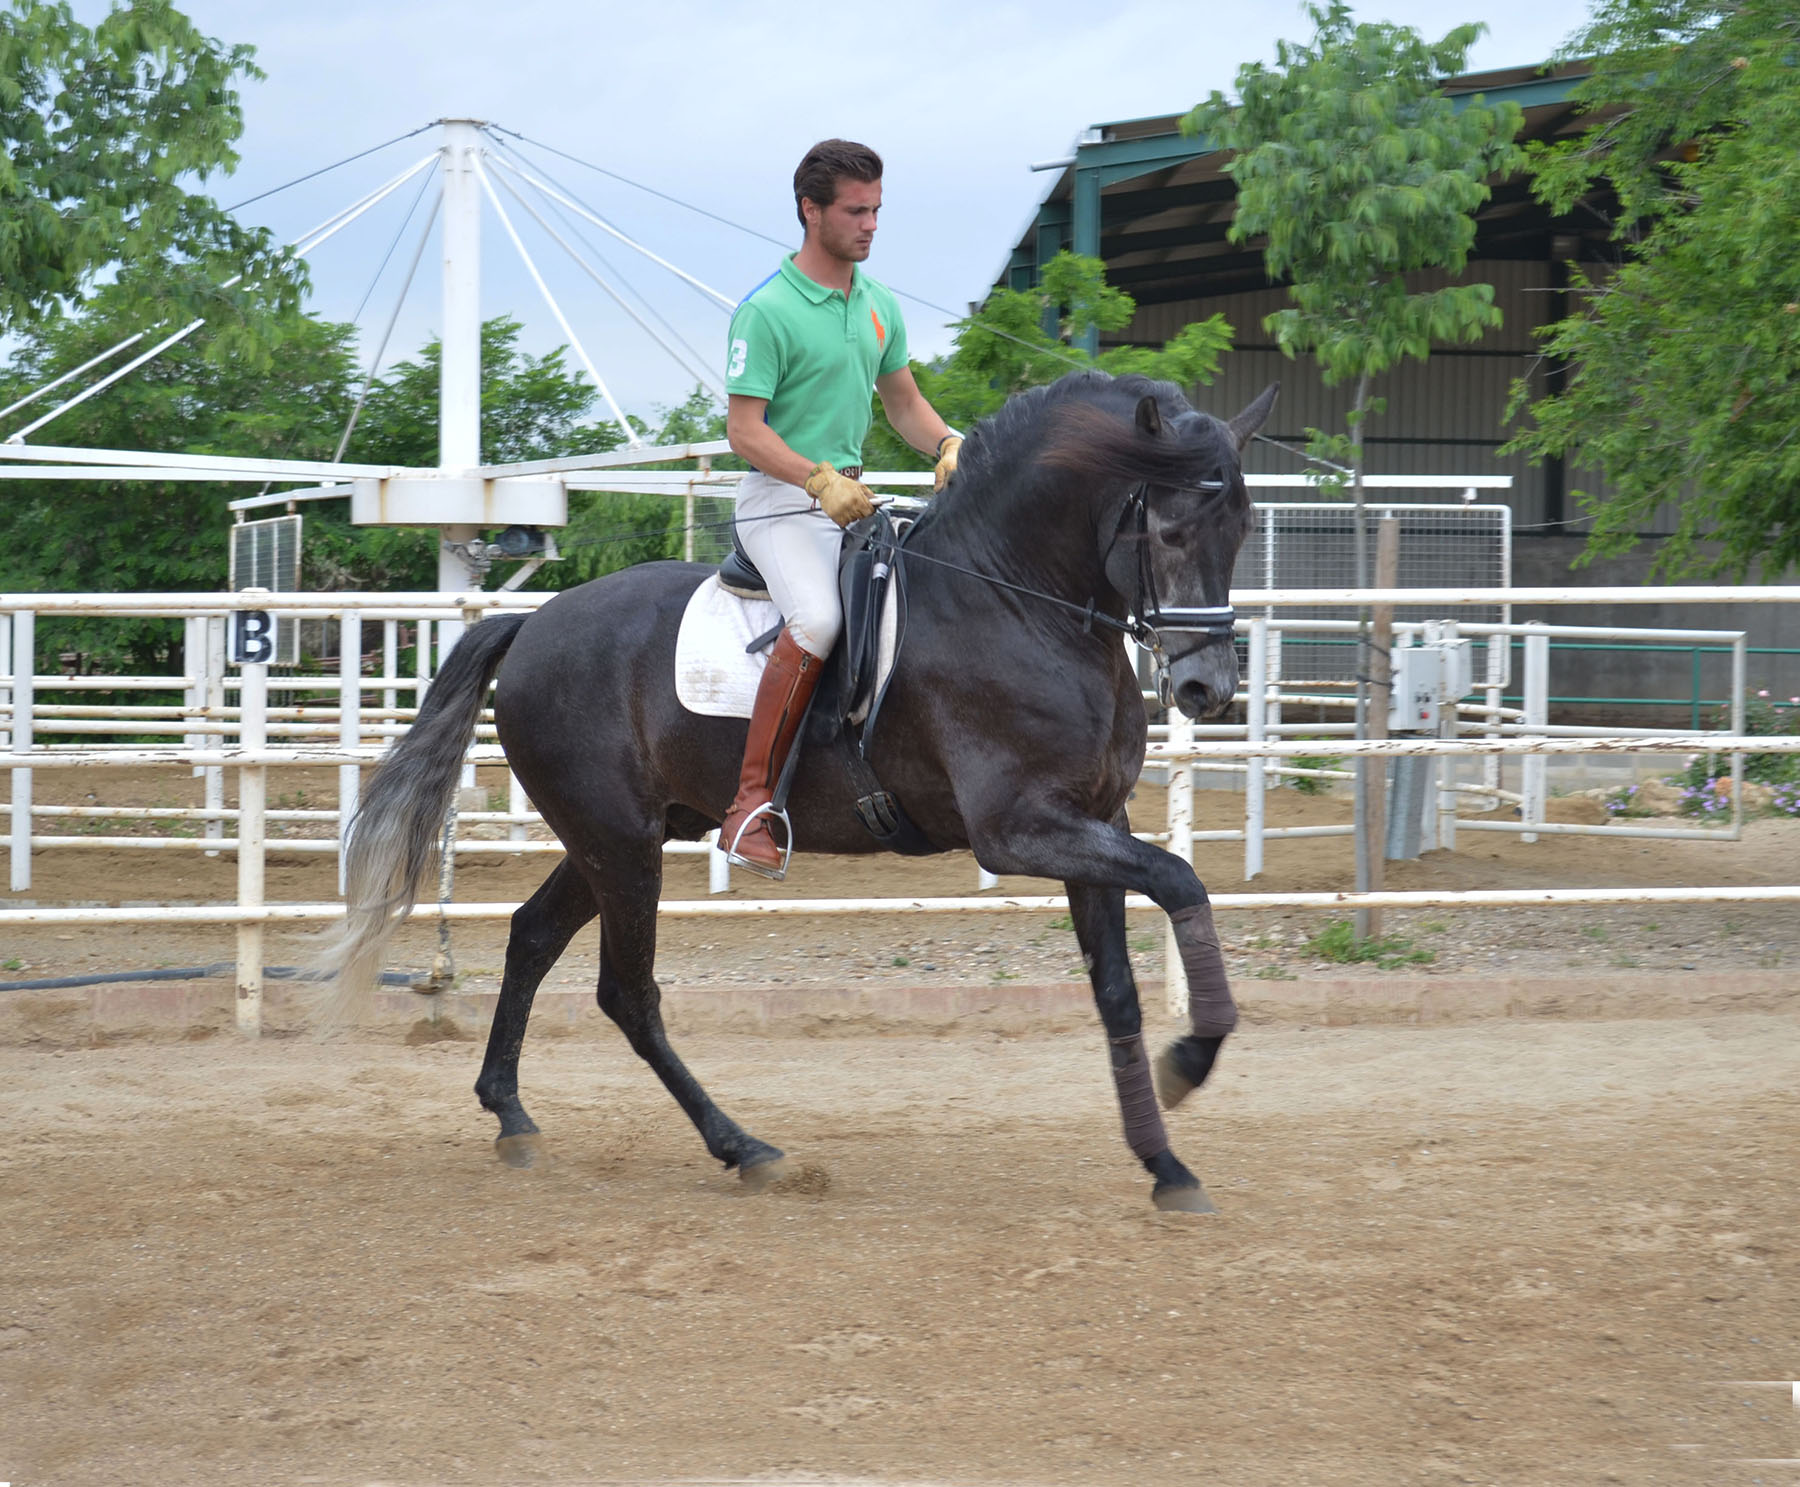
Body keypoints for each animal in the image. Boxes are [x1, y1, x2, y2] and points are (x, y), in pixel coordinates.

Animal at [316, 367, 1274, 1202]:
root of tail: (533, 622)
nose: (1208, 690)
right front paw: (1192, 1061)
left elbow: (1117, 988)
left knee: (532, 936)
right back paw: (744, 1148)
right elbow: (1183, 879)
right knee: (627, 993)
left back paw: (511, 1114)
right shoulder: (1022, 830)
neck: (1015, 598)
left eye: (1241, 529)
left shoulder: (1092, 824)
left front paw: (1165, 1163)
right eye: (1170, 532)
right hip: (619, 845)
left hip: (620, 837)